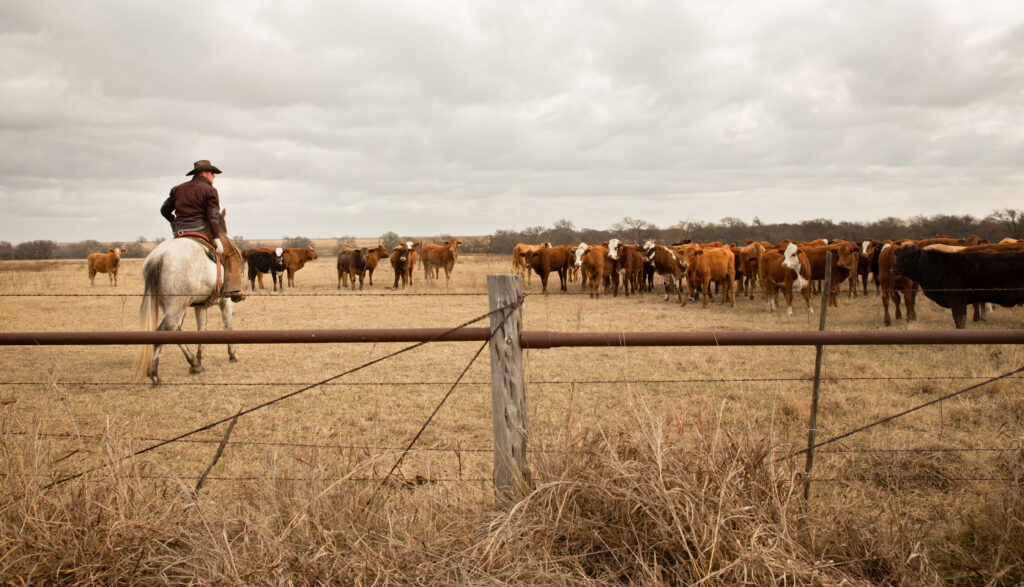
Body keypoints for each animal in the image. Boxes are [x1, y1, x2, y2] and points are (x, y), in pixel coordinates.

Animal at [135, 214, 238, 385]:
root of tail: (159, 256)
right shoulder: (226, 302)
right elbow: (227, 326)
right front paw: (233, 354)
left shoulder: (200, 305)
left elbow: (201, 330)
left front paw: (200, 359)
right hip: (178, 304)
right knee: (165, 331)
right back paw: (155, 375)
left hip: (169, 305)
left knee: (176, 330)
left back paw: (194, 364)